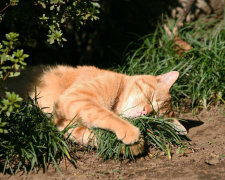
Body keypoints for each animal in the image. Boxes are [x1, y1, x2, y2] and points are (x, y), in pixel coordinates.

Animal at [5, 65, 188, 154]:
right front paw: (130, 132)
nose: (145, 112)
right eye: (151, 98)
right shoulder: (75, 98)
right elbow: (103, 114)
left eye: (154, 117)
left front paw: (130, 146)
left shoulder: (66, 126)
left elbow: (95, 136)